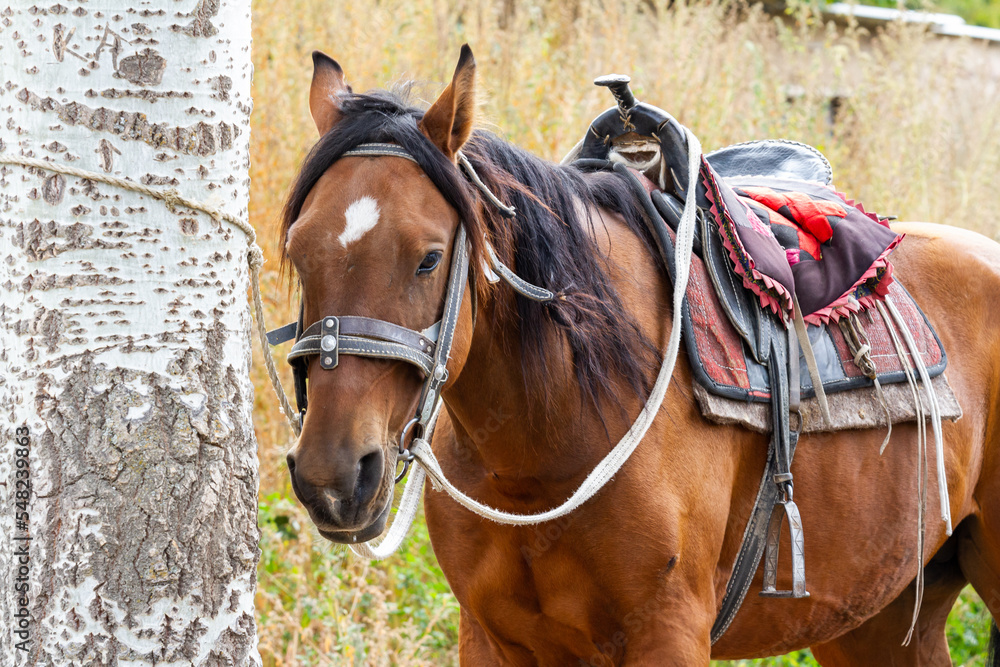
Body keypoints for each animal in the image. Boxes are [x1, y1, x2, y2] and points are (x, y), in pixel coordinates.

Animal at [279, 46, 1000, 665]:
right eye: (297, 252)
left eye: (428, 258)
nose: (333, 477)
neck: (543, 448)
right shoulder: (490, 636)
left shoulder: (669, 631)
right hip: (876, 616)